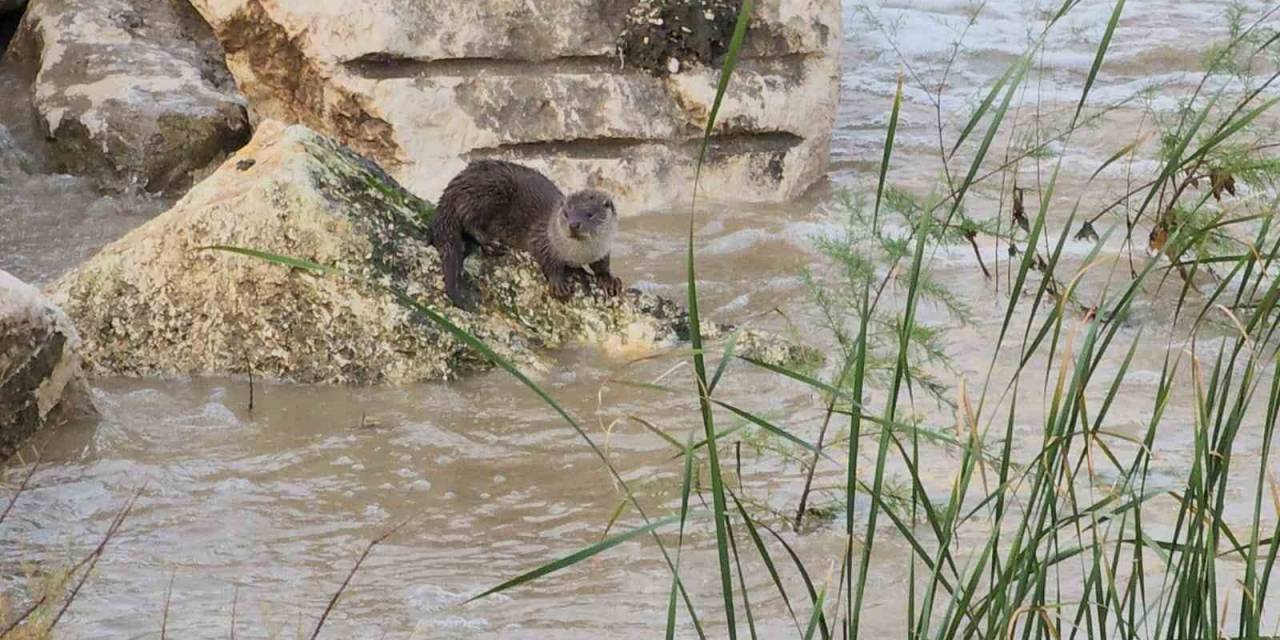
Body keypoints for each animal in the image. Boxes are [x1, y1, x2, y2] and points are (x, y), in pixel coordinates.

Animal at [432, 161, 622, 308]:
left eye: (590, 214)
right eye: (567, 214)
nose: (574, 224)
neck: (579, 254)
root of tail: (457, 183)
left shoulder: (602, 249)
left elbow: (602, 265)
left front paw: (609, 280)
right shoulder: (543, 238)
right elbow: (547, 259)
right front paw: (558, 283)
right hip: (491, 188)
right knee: (469, 219)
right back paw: (491, 243)